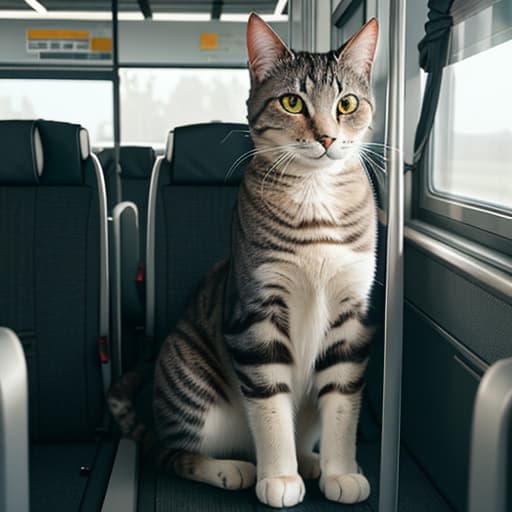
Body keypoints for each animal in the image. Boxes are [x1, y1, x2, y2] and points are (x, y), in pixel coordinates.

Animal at [109, 13, 380, 508]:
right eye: (292, 102)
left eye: (347, 103)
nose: (327, 137)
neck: (315, 197)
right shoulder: (257, 314)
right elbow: (270, 406)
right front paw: (279, 477)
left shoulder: (351, 317)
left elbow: (343, 403)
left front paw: (341, 470)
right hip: (191, 378)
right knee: (174, 454)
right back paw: (231, 468)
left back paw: (309, 459)